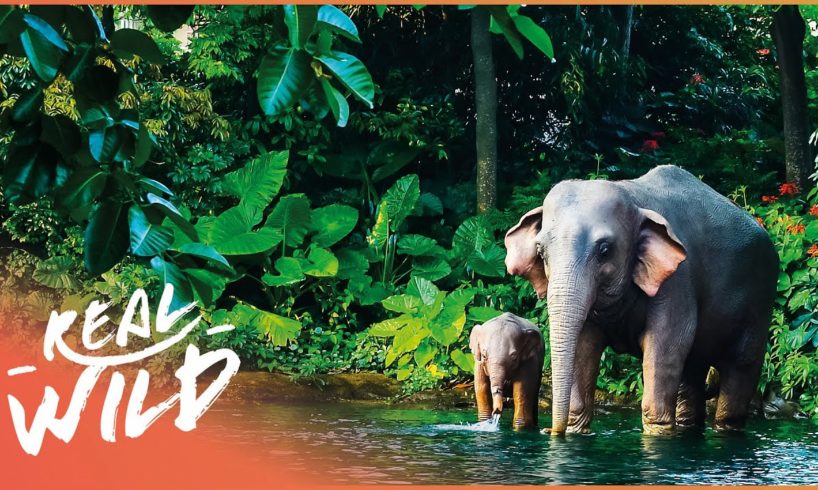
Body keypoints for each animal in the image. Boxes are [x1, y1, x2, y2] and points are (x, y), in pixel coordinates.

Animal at [504, 165, 778, 435]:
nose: (548, 431)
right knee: (692, 372)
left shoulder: (678, 281)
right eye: (540, 252)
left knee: (740, 370)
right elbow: (583, 345)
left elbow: (667, 345)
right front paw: (575, 429)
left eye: (605, 250)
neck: (633, 196)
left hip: (760, 304)